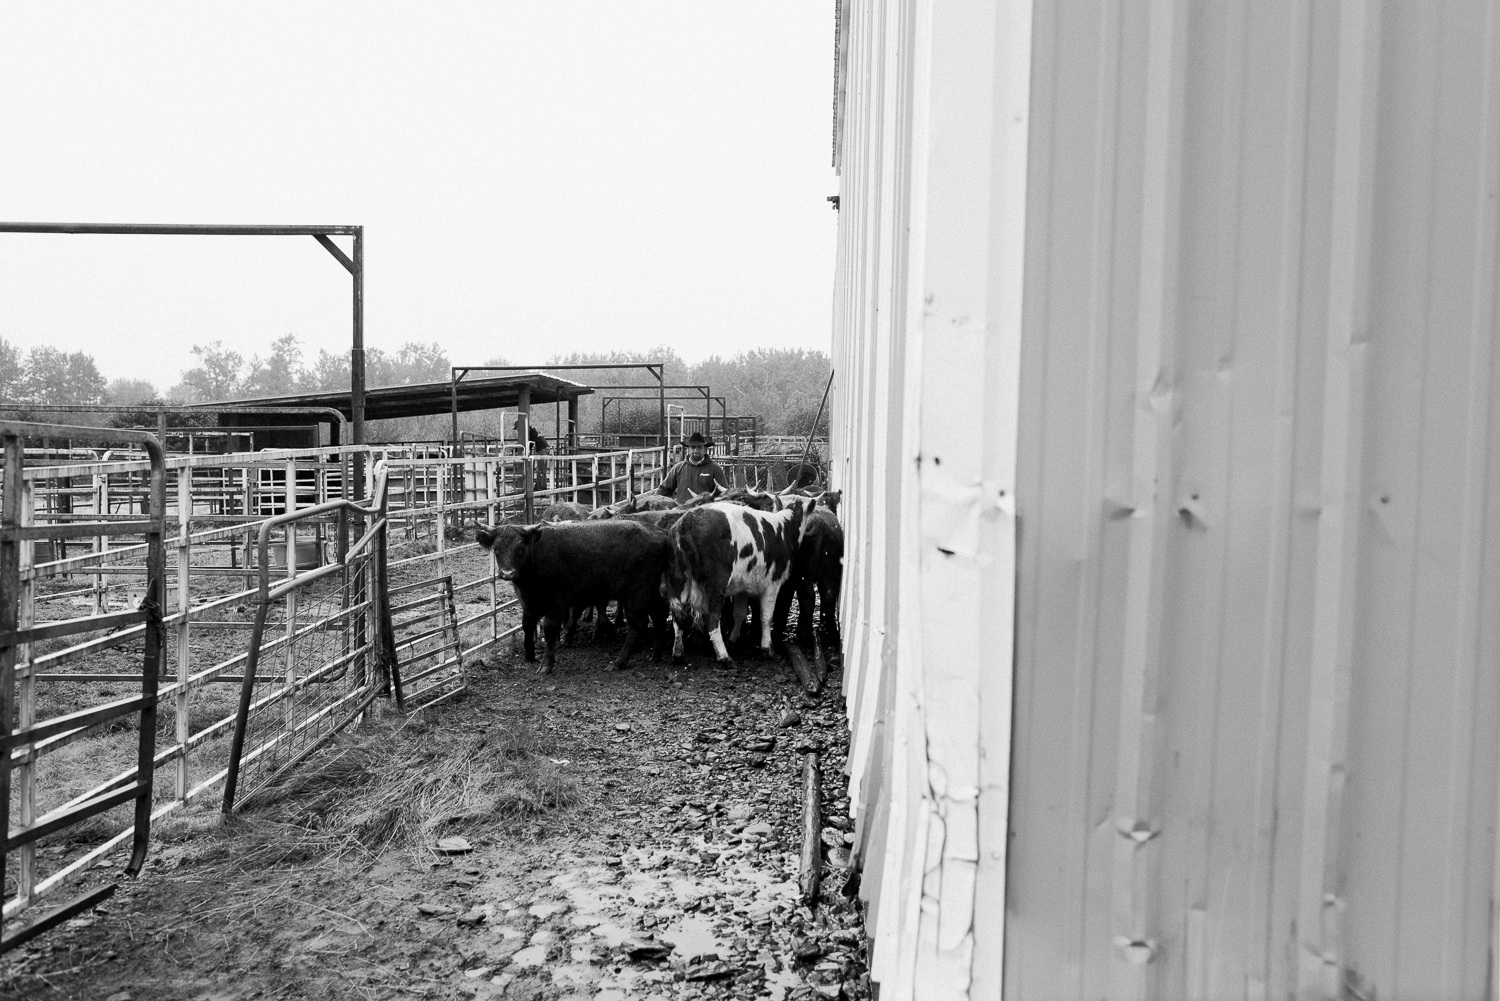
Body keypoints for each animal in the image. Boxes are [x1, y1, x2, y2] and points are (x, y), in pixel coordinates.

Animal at [477, 516, 672, 672]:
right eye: (496, 549)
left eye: (520, 549)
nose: (507, 573)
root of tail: (661, 534)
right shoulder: (529, 604)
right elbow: (527, 625)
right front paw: (530, 655)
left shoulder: (555, 603)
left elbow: (549, 629)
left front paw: (546, 664)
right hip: (653, 594)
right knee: (659, 617)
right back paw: (656, 654)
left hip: (636, 594)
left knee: (638, 624)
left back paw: (618, 662)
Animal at [663, 498, 816, 669]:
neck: (784, 528)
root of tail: (687, 520)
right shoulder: (772, 583)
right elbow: (766, 616)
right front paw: (768, 649)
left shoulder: (742, 587)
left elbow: (740, 613)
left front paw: (734, 638)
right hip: (716, 584)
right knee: (712, 619)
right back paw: (725, 658)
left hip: (678, 580)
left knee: (677, 618)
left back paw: (678, 654)